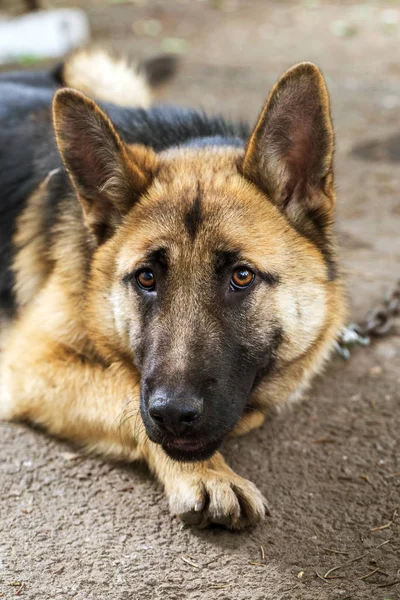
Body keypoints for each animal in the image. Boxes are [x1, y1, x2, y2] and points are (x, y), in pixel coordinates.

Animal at [0, 51, 344, 528]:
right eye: (146, 278)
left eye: (241, 277)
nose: (173, 416)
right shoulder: (30, 364)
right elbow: (123, 390)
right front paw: (207, 473)